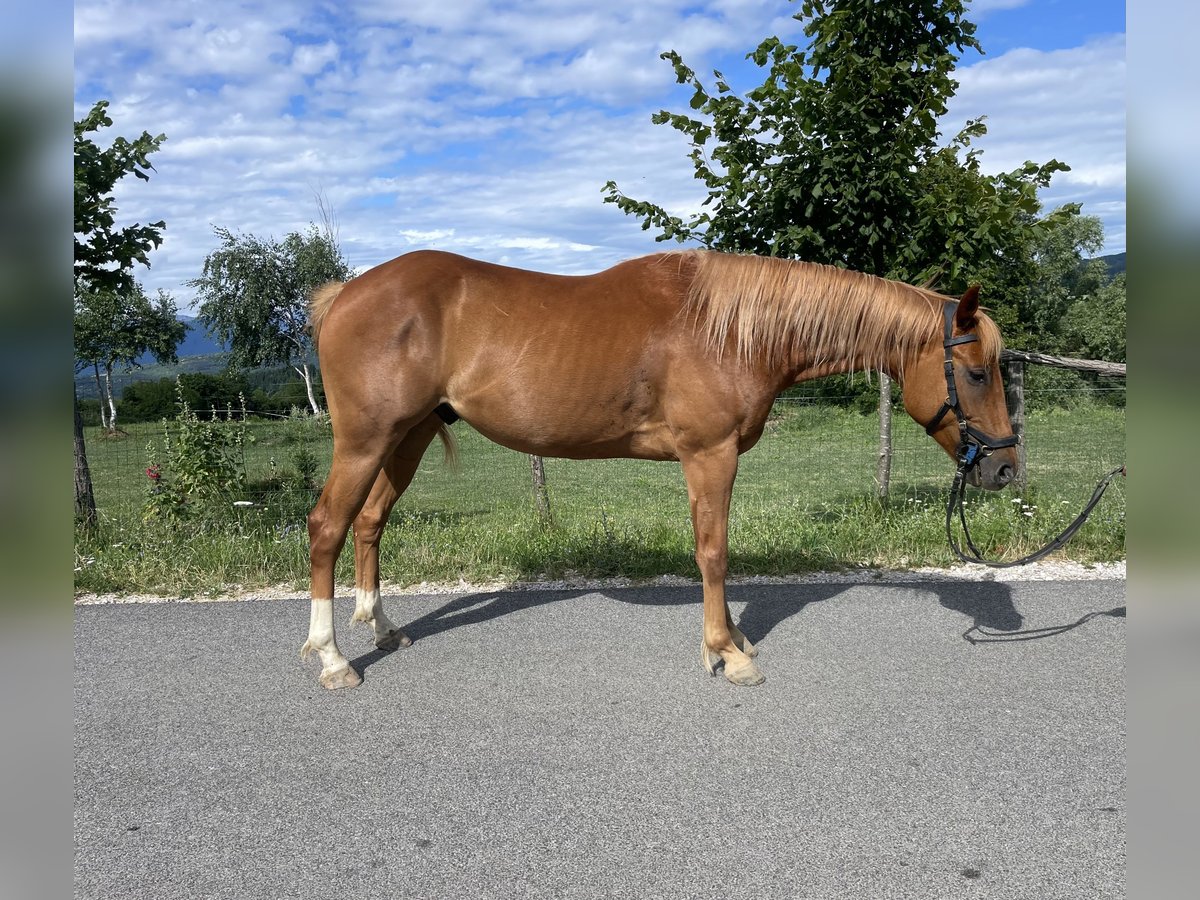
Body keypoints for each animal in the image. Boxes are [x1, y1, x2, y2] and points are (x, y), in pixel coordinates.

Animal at [300, 249, 1017, 689]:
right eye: (977, 372)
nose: (1006, 469)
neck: (733, 332)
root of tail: (346, 295)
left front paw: (734, 640)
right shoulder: (709, 455)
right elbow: (714, 552)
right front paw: (726, 652)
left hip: (409, 436)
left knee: (370, 522)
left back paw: (384, 630)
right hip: (365, 441)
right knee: (328, 527)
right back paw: (333, 658)